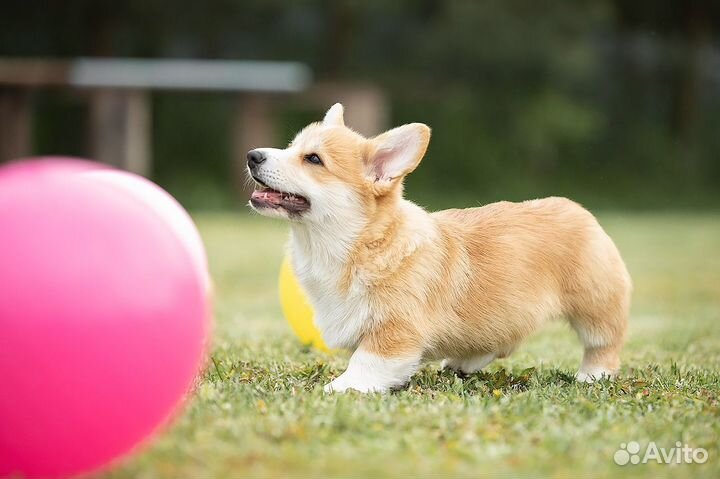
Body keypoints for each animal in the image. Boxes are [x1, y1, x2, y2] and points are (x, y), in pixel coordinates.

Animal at [248, 105, 632, 394]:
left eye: (313, 159)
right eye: (291, 147)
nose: (252, 155)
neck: (355, 243)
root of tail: (578, 208)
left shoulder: (394, 333)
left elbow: (365, 363)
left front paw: (337, 388)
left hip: (595, 306)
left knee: (604, 343)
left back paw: (592, 375)